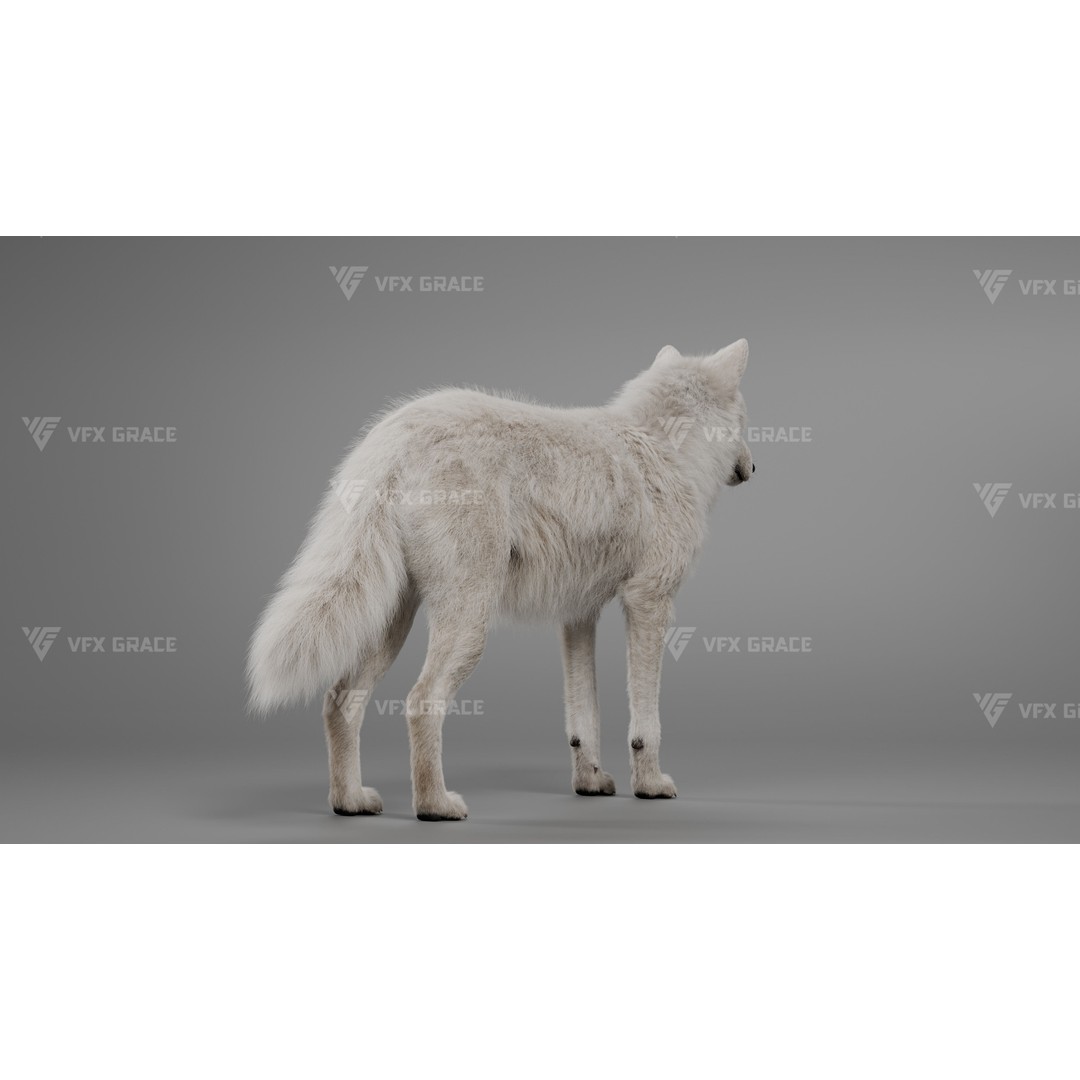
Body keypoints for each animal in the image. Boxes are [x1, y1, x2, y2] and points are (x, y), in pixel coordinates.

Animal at [247, 339, 754, 821]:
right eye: (747, 420)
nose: (753, 468)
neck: (666, 449)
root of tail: (395, 437)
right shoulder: (649, 601)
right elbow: (645, 722)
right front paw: (650, 785)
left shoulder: (578, 615)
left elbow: (583, 718)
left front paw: (590, 782)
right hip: (469, 623)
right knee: (420, 701)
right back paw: (435, 806)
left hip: (392, 623)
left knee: (339, 702)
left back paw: (350, 801)